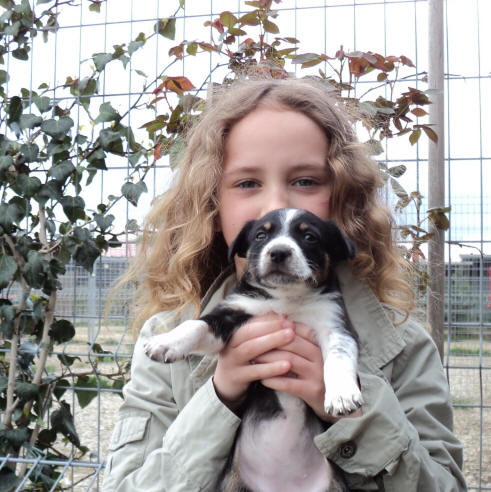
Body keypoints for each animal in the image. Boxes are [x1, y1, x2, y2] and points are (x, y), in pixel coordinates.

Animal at [144, 209, 364, 492]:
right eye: (261, 235)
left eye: (309, 237)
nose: (278, 252)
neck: (286, 298)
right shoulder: (233, 313)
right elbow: (195, 325)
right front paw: (165, 342)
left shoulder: (336, 325)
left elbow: (338, 358)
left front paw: (342, 395)